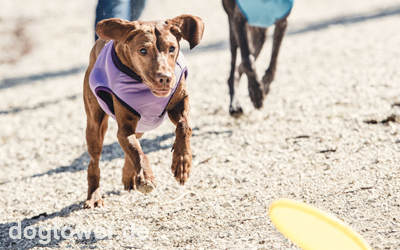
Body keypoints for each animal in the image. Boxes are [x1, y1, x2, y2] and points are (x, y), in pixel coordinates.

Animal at [82, 14, 205, 208]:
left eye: (172, 48)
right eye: (143, 50)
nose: (165, 78)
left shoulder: (179, 102)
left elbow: (184, 127)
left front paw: (182, 162)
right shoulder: (124, 127)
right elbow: (136, 151)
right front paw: (146, 177)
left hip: (143, 126)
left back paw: (129, 175)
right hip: (95, 125)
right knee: (94, 162)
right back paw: (94, 196)